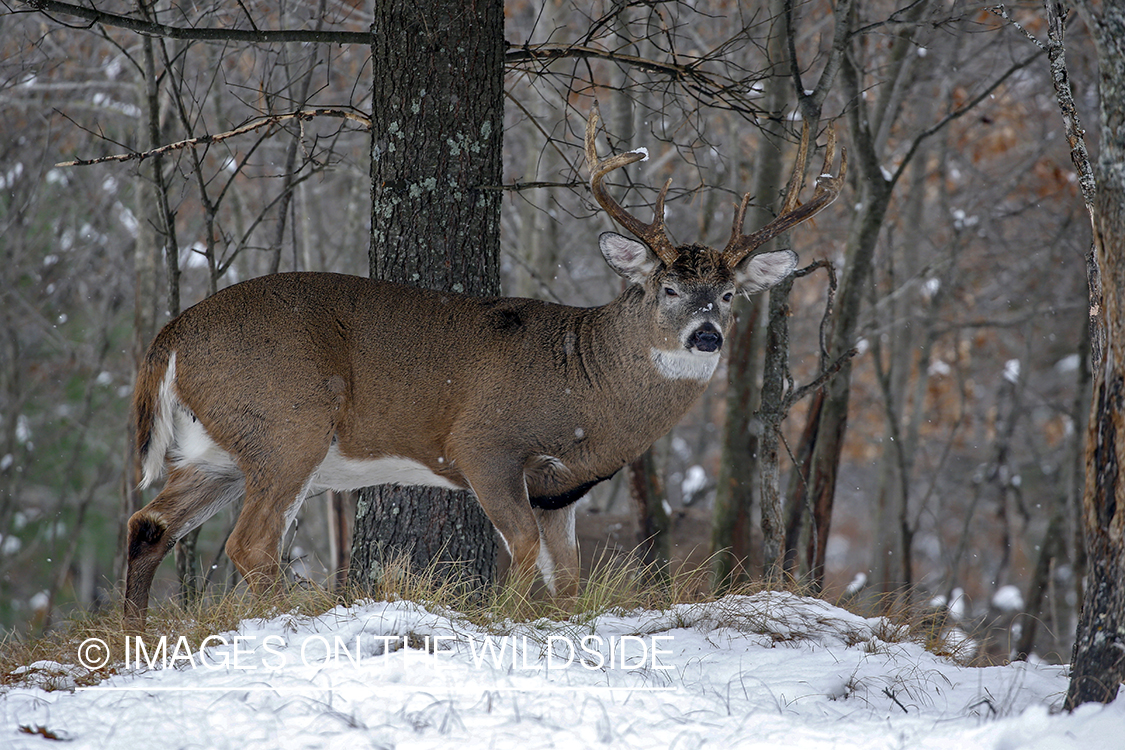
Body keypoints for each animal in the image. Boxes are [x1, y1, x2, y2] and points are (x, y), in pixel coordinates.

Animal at [123, 106, 846, 629]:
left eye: (727, 295)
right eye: (667, 289)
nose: (705, 336)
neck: (584, 385)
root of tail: (170, 335)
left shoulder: (562, 491)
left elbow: (568, 579)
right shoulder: (483, 445)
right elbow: (521, 552)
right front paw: (503, 620)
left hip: (219, 447)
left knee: (149, 524)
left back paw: (133, 631)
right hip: (287, 424)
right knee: (249, 544)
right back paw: (287, 622)